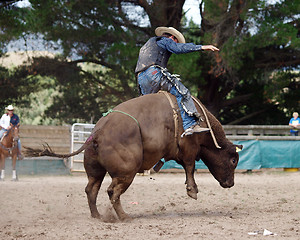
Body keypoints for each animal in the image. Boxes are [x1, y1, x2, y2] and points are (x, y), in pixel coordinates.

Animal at [24, 91, 243, 221]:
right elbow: (190, 166)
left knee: (91, 190)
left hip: (95, 171)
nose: (231, 183)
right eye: (233, 160)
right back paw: (124, 216)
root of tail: (98, 132)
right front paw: (192, 190)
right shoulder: (189, 146)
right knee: (112, 191)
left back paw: (97, 216)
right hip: (126, 171)